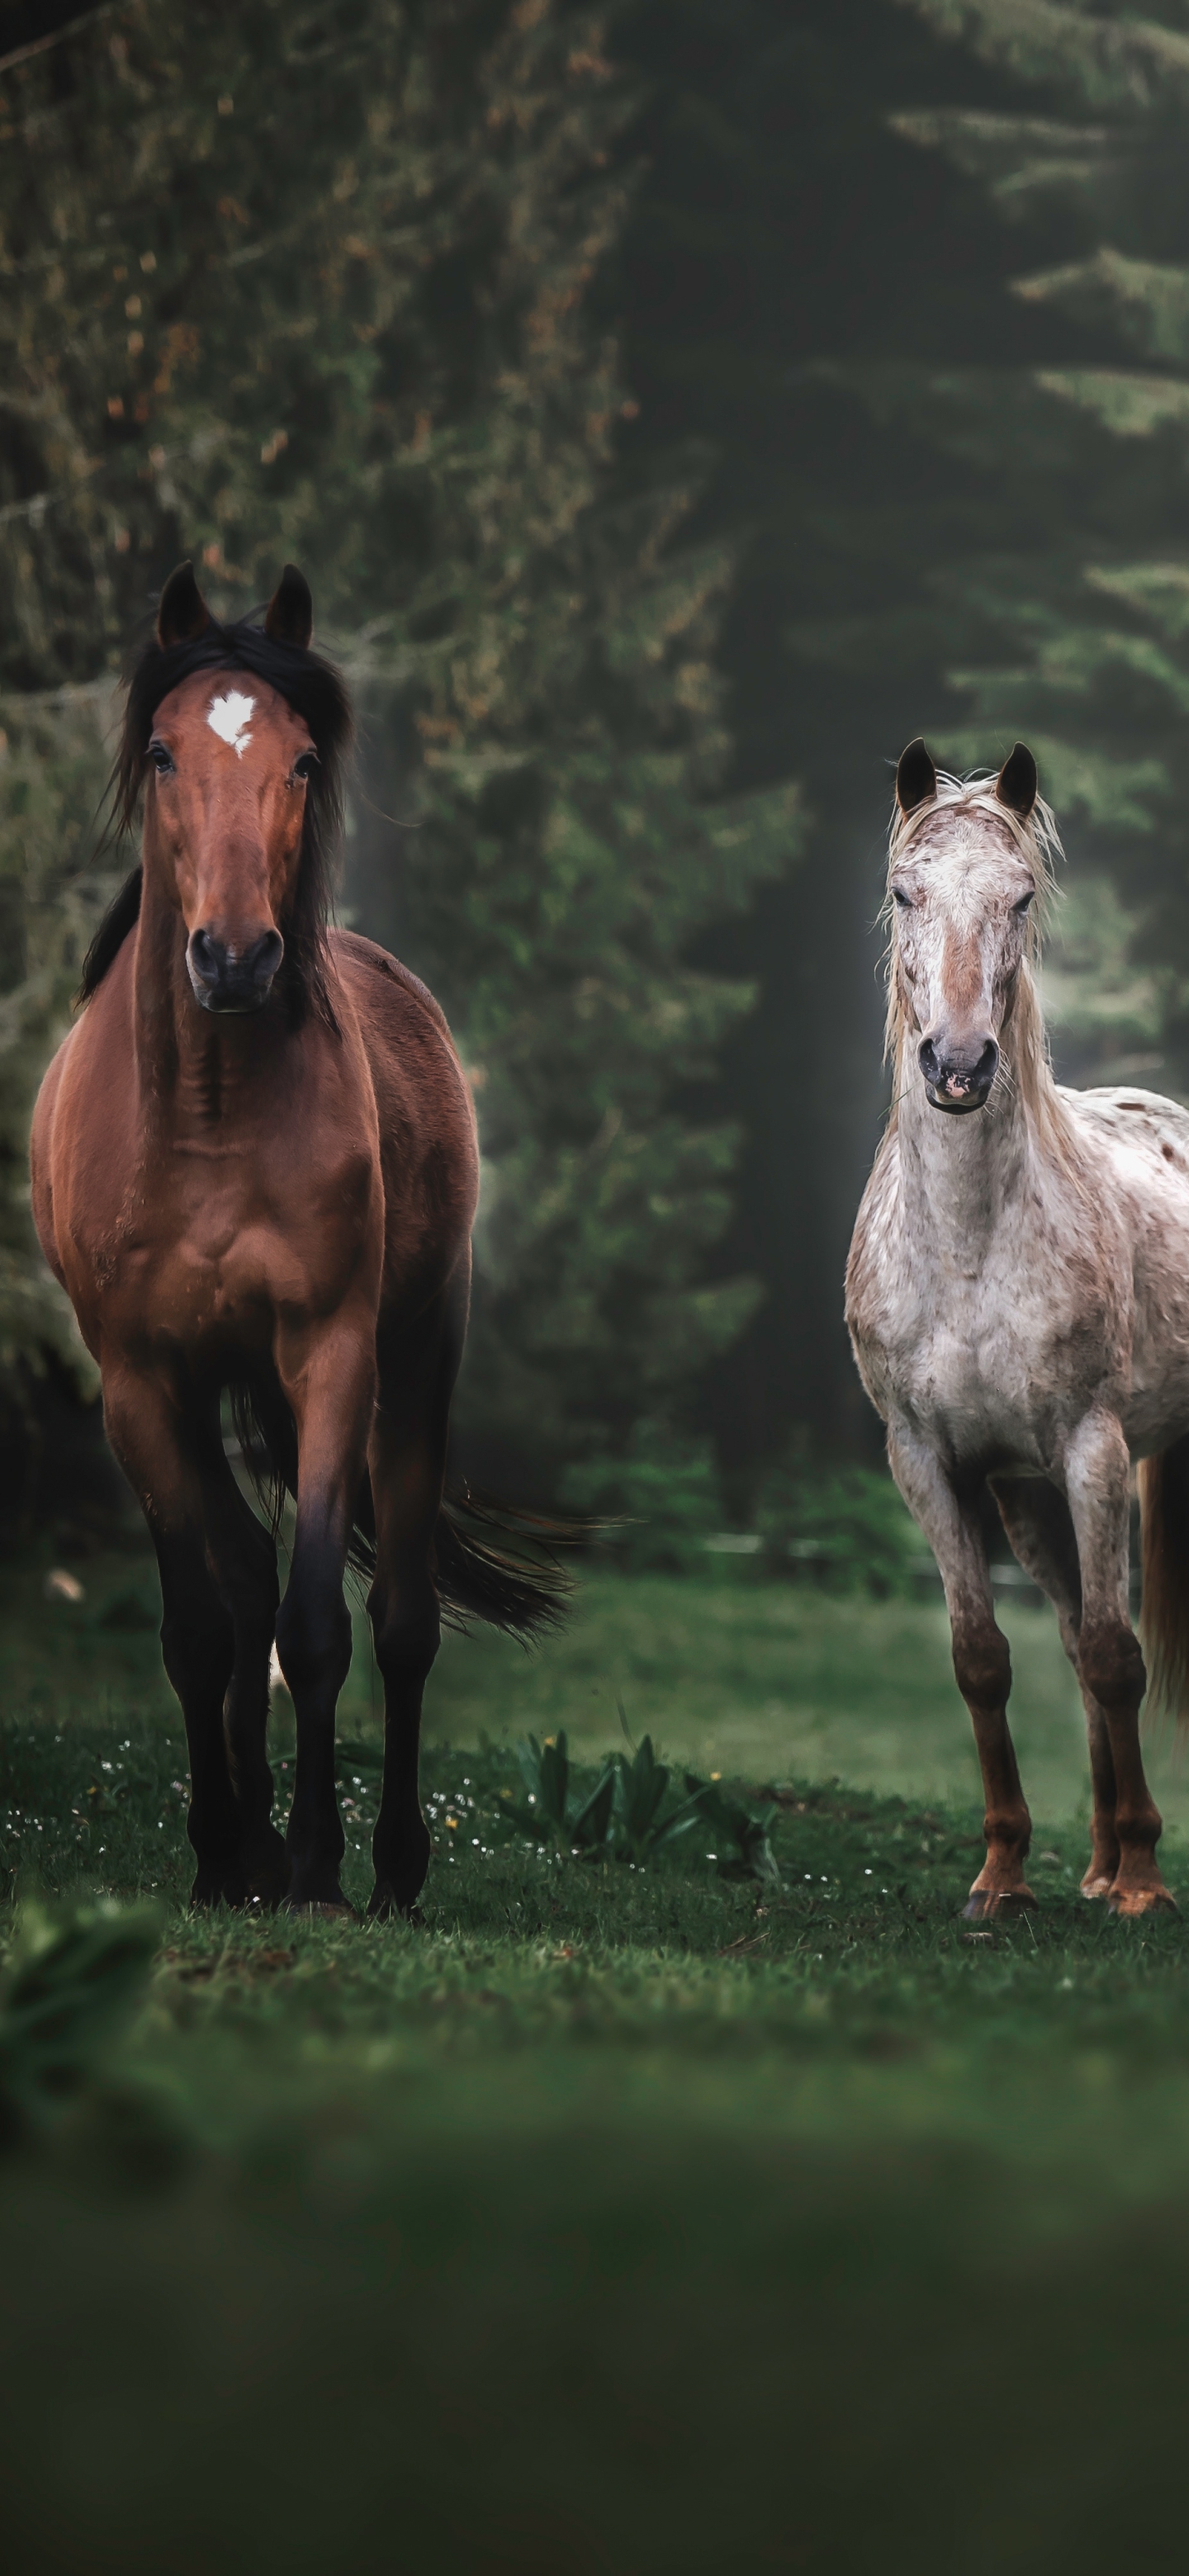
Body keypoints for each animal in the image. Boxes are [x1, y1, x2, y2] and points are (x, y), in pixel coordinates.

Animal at [32, 564, 561, 1916]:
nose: (233, 956)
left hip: (416, 1362)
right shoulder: (141, 1384)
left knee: (401, 1619)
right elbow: (203, 1625)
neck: (209, 1113)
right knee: (240, 1576)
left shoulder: (331, 1358)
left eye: (305, 759)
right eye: (163, 753)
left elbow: (320, 1623)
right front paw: (227, 1851)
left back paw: (390, 1868)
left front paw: (319, 1864)